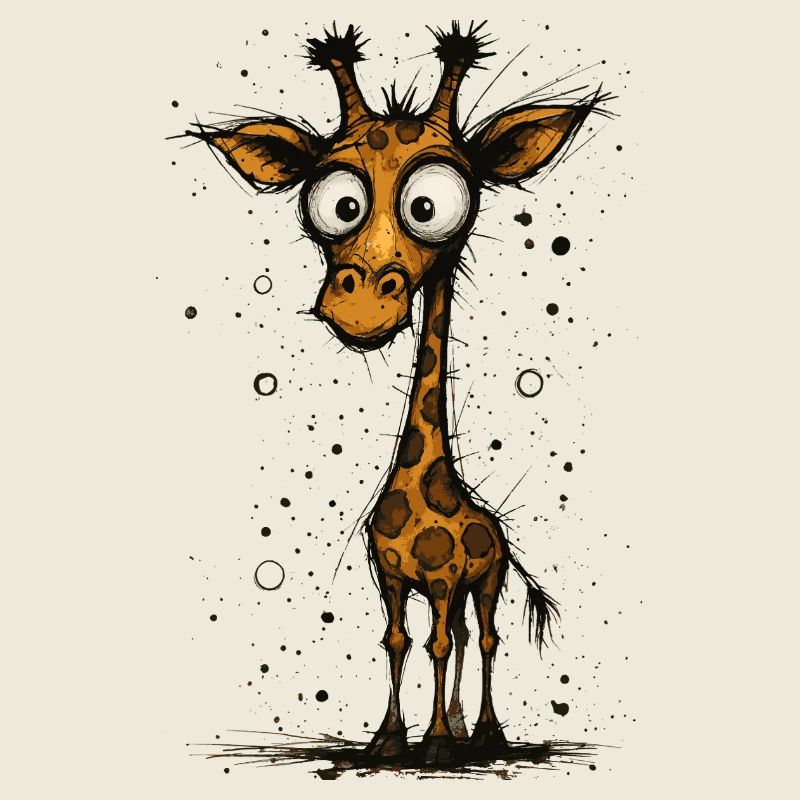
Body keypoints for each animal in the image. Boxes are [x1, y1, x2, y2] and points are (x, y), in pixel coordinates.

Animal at [189, 22, 595, 766]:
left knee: (480, 635)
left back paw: (482, 732)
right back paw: (462, 728)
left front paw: (432, 744)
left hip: (487, 579)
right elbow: (400, 640)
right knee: (457, 637)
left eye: (430, 206)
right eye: (339, 205)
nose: (359, 306)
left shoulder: (443, 578)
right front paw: (387, 739)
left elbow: (435, 642)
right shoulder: (391, 577)